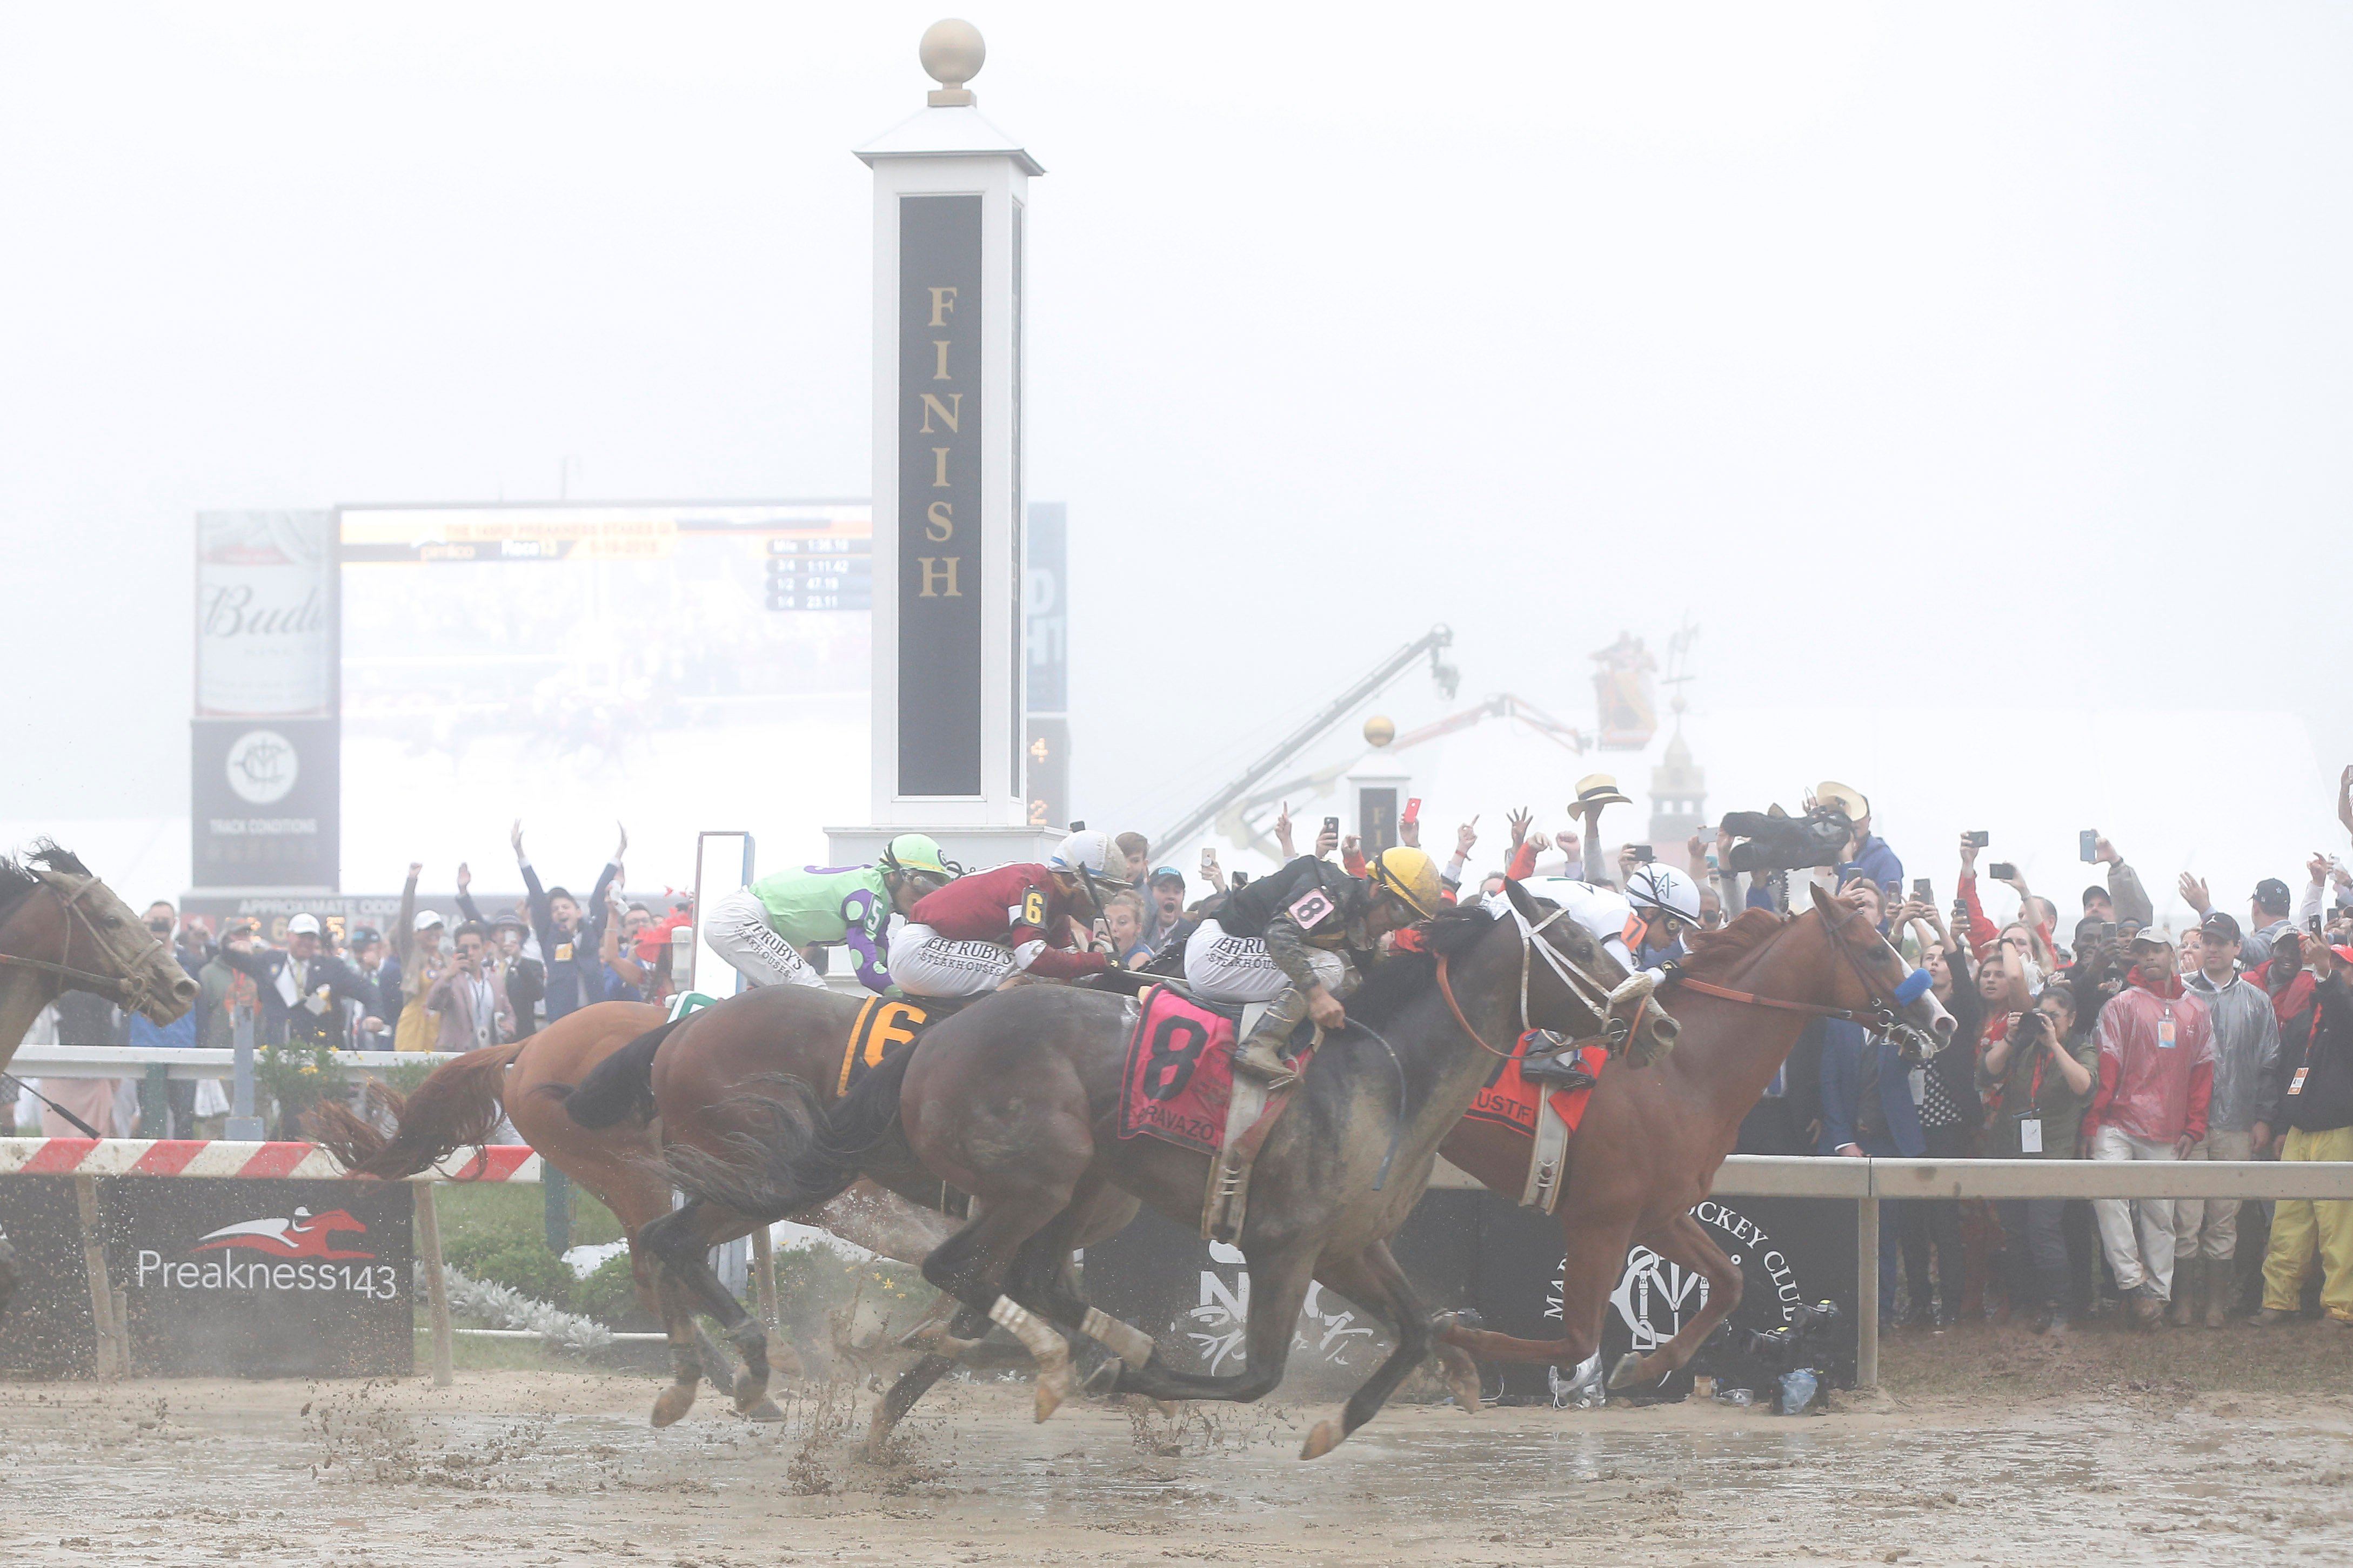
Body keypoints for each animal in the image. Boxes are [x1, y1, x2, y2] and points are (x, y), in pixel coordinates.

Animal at [649, 883, 1675, 1457]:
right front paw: (1124, 1376)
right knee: (957, 1271)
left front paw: (1344, 1419)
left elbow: (1420, 1328)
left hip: (1028, 1189)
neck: (1381, 1073)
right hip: (1036, 1176)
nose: (1659, 1022)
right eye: (1577, 945)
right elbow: (1257, 1374)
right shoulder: (1282, 1243)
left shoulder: (1349, 1243)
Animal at [1430, 888, 1948, 1391]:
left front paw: (1641, 1366)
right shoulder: (1600, 1217)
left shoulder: (1656, 1214)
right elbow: (1576, 1341)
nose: (1944, 1021)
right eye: (1877, 951)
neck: (1684, 1072)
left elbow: (1730, 1280)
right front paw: (1452, 1339)